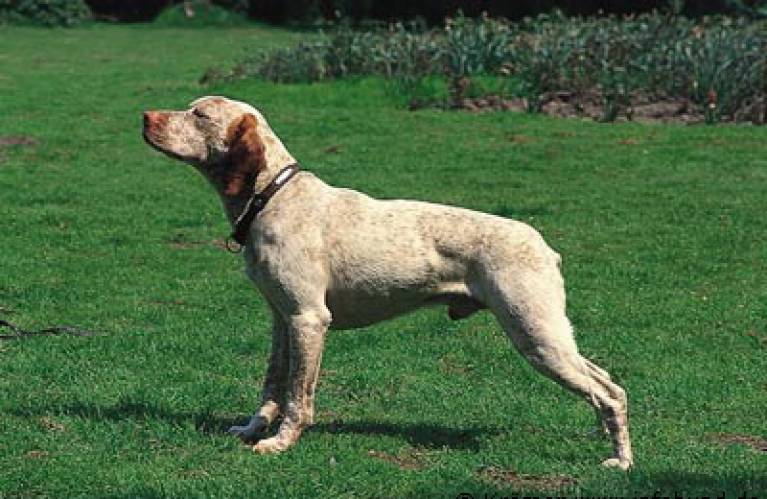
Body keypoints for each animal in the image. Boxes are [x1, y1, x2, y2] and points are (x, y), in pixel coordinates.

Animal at [141, 95, 632, 470]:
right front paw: (251, 429)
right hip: (547, 337)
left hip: (536, 335)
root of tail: (543, 245)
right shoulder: (282, 320)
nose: (144, 117)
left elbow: (298, 397)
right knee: (607, 384)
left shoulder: (308, 320)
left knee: (609, 393)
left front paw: (280, 443)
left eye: (200, 114)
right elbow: (272, 386)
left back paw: (622, 461)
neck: (273, 197)